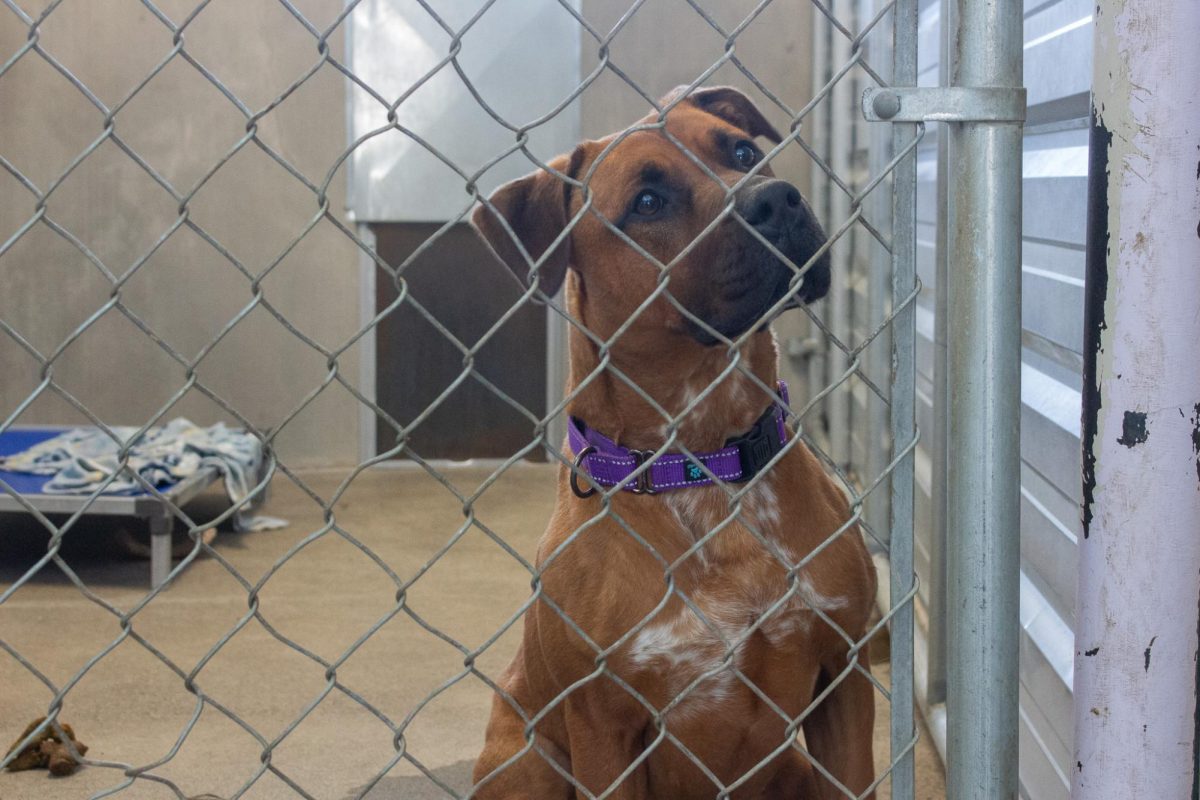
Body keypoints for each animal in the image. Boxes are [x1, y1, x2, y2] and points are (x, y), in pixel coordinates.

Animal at [465, 84, 873, 796]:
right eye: (648, 202)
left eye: (742, 153)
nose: (777, 200)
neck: (704, 460)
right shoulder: (605, 731)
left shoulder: (846, 677)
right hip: (531, 762)